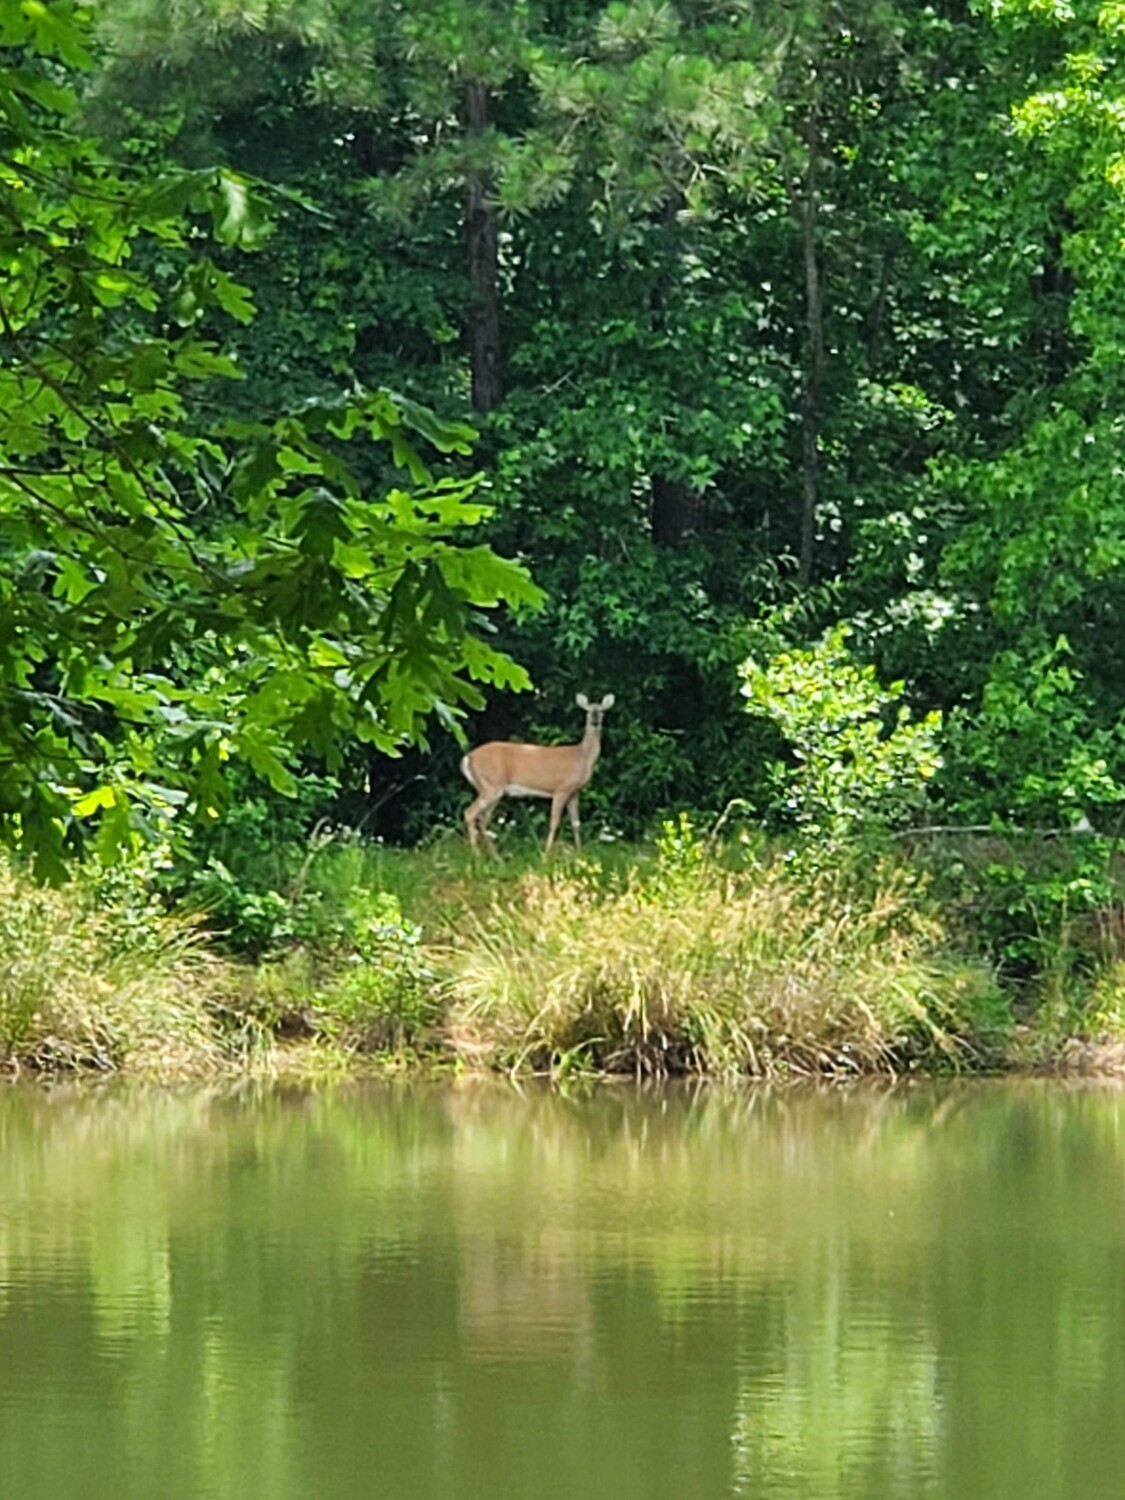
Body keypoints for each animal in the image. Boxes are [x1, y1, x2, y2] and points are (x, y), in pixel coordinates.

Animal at [460, 693, 615, 854]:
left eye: (602, 712)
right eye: (588, 712)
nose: (595, 719)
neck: (581, 757)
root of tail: (468, 758)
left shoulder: (575, 792)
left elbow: (576, 823)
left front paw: (580, 852)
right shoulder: (561, 789)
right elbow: (554, 822)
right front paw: (546, 853)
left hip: (491, 789)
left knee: (483, 818)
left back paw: (495, 856)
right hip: (491, 785)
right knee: (470, 813)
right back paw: (477, 855)